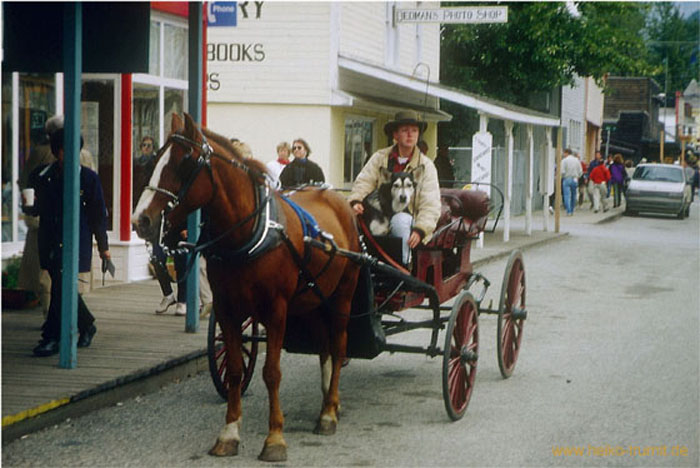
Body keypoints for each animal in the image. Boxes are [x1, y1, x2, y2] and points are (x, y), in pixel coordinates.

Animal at [131, 114, 360, 460]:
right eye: (154, 159)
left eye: (185, 162)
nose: (140, 220)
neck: (247, 233)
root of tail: (335, 197)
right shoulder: (227, 308)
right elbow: (237, 370)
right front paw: (229, 432)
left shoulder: (276, 309)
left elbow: (272, 372)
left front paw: (275, 438)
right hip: (315, 297)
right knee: (324, 347)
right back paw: (327, 403)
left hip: (342, 296)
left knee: (339, 345)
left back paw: (329, 412)